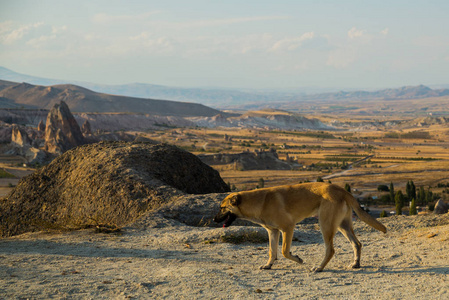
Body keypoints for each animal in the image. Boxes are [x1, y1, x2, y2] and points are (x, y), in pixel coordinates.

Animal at [214, 183, 384, 272]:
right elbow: (272, 251)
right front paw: (269, 265)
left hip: (326, 224)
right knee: (357, 243)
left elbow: (284, 251)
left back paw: (319, 268)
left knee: (330, 250)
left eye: (222, 208)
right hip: (343, 225)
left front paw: (298, 259)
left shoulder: (288, 227)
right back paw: (356, 263)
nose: (214, 219)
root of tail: (340, 189)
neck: (260, 202)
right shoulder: (273, 231)